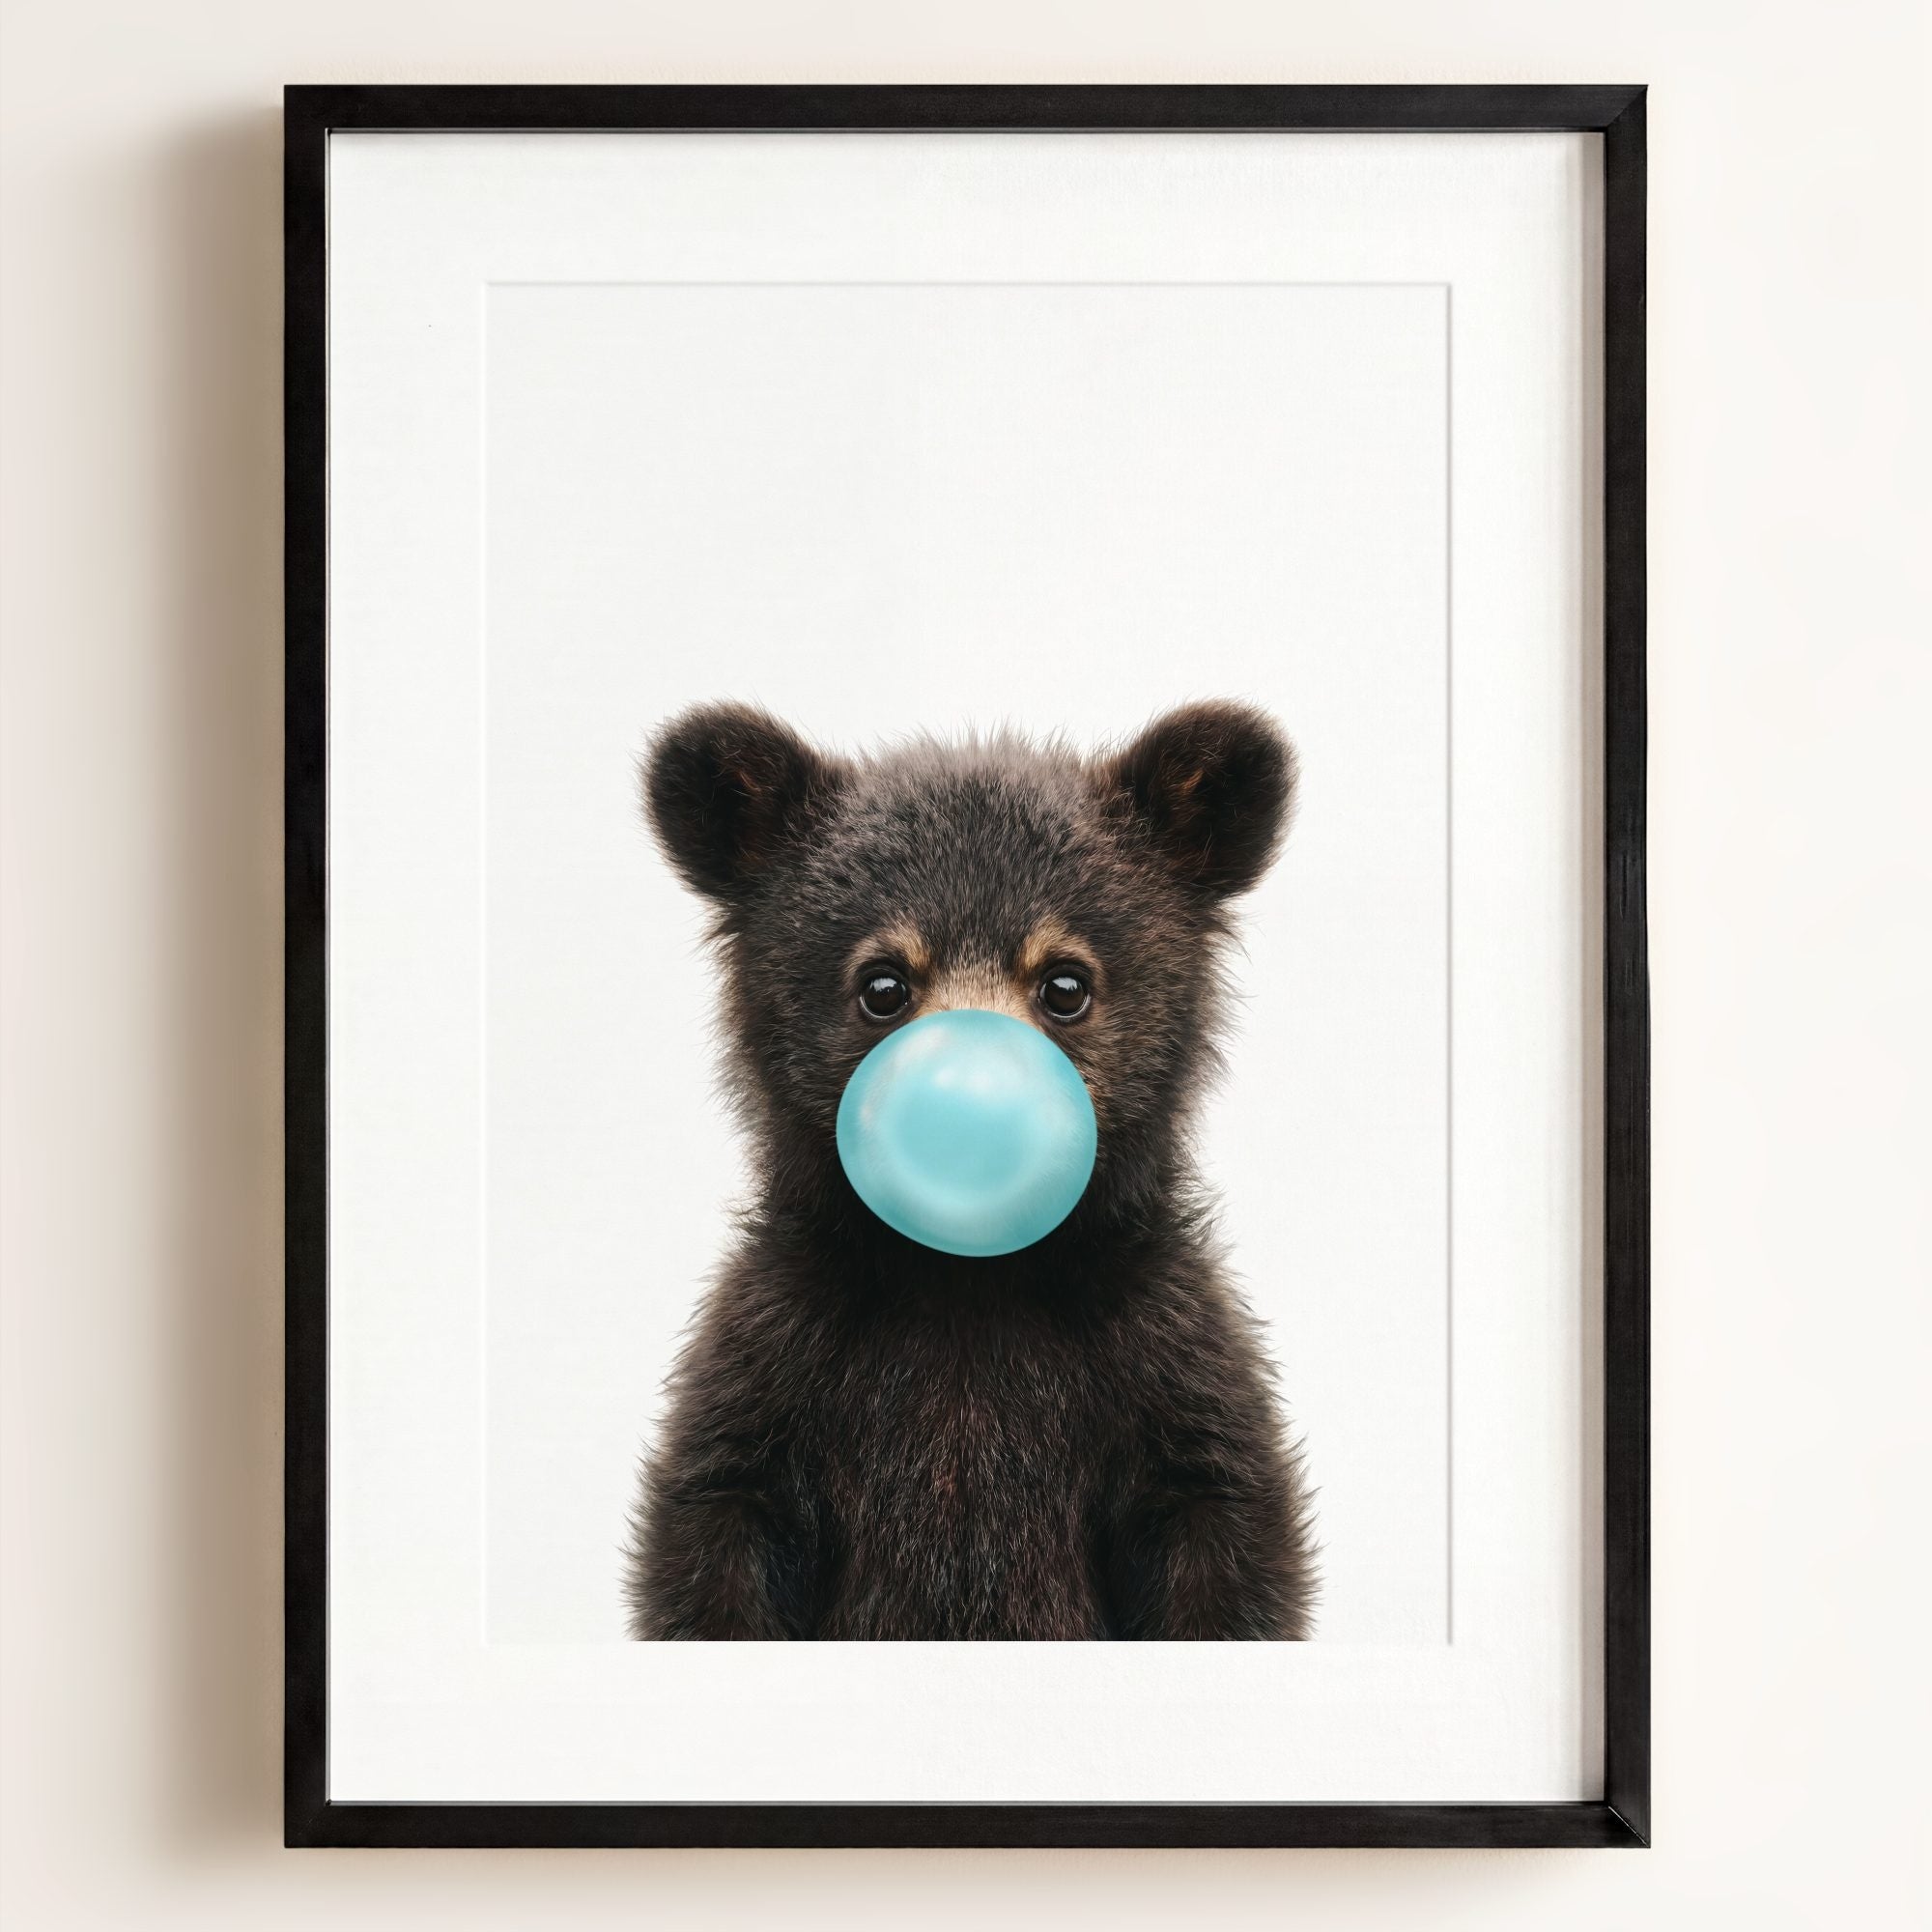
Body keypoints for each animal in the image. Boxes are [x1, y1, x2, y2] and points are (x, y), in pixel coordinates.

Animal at [624, 700, 1316, 1640]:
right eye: (883, 985)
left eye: (1065, 983)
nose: (970, 1122)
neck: (968, 1279)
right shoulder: (777, 1356)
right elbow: (718, 1528)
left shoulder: (1164, 1356)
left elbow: (1221, 1529)